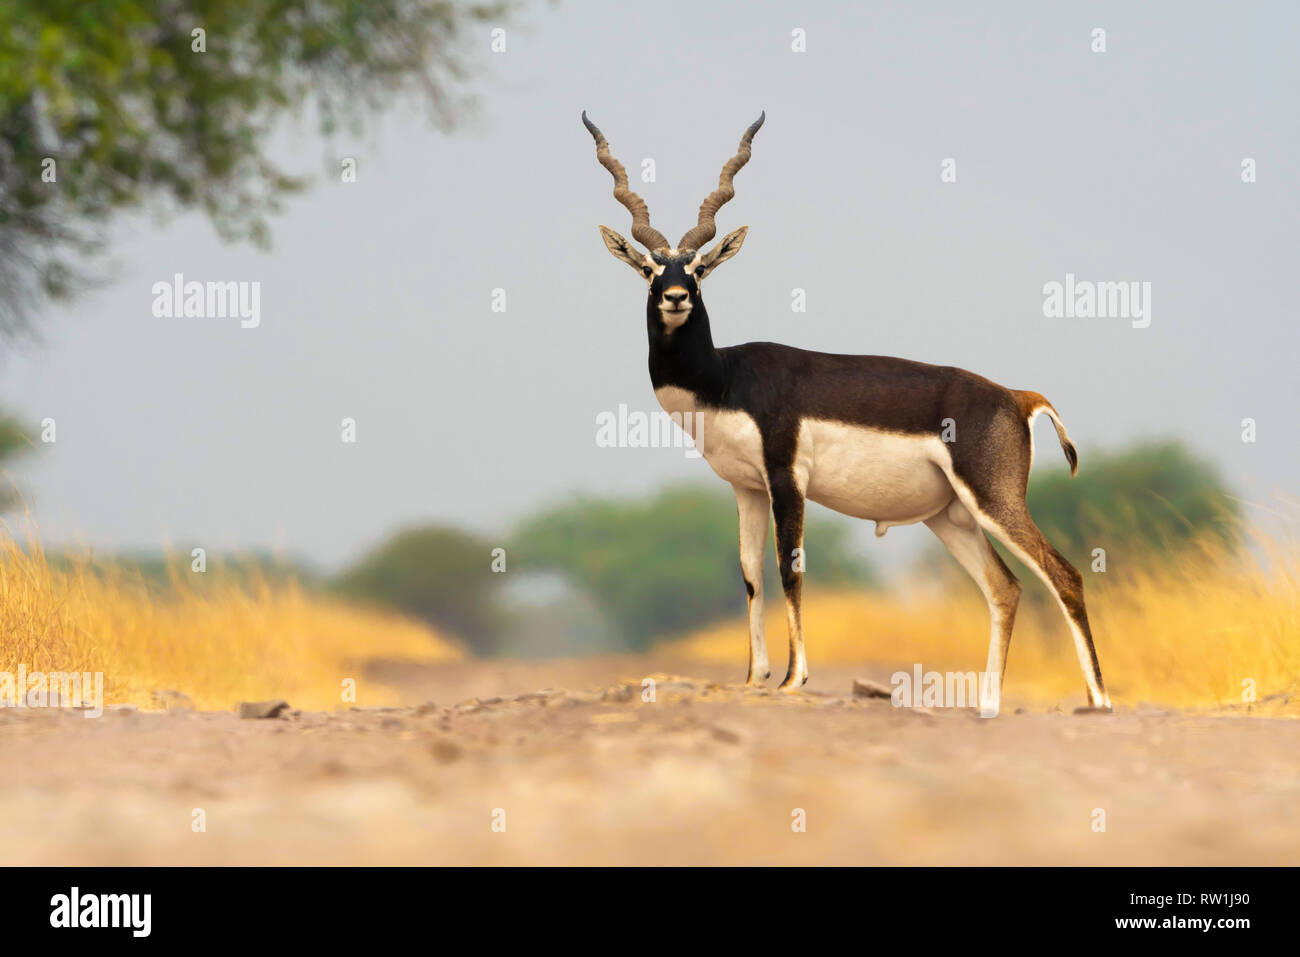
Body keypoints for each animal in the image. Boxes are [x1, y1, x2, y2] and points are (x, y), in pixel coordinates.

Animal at [585, 111, 1112, 712]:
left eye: (698, 268)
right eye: (650, 269)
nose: (675, 296)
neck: (725, 377)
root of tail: (1016, 396)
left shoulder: (786, 477)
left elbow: (788, 569)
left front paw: (793, 679)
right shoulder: (746, 487)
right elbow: (750, 575)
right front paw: (754, 678)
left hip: (994, 501)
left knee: (1064, 575)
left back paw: (1100, 701)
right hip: (951, 516)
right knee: (1006, 588)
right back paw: (987, 706)